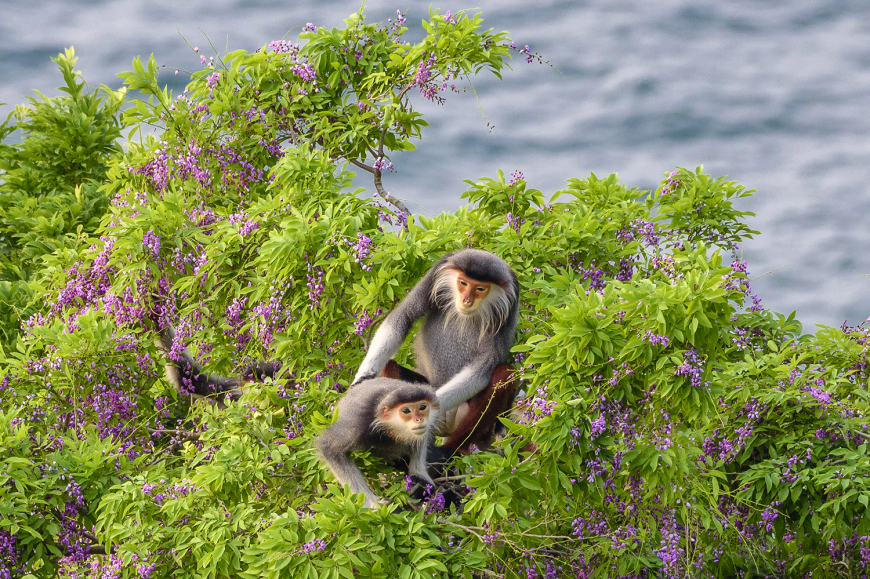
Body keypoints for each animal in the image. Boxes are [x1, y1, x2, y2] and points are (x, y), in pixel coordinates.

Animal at [317, 377, 447, 508]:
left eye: (422, 407)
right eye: (406, 410)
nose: (419, 419)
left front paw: (420, 477)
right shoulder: (357, 422)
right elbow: (329, 447)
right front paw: (374, 506)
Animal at [352, 249, 520, 454]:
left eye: (480, 289)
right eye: (463, 283)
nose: (467, 300)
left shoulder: (510, 303)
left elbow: (483, 368)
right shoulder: (438, 271)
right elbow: (402, 318)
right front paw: (361, 378)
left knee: (504, 374)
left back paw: (450, 451)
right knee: (388, 367)